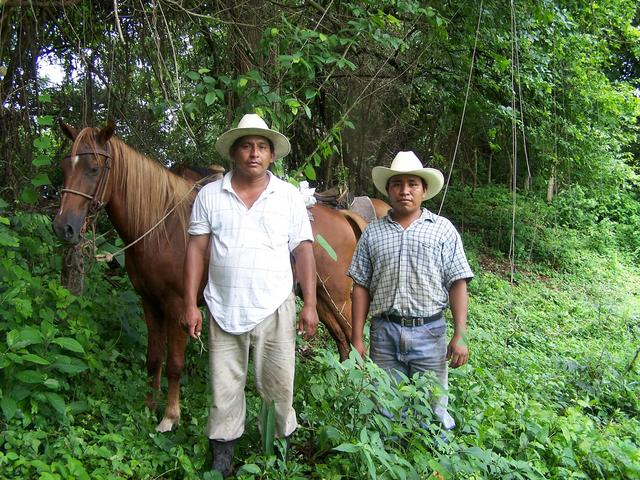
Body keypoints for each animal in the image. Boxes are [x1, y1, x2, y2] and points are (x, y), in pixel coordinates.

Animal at [53, 123, 372, 432]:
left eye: (94, 168)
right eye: (65, 166)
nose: (63, 227)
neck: (161, 229)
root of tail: (343, 216)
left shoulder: (177, 306)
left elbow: (174, 363)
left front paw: (170, 416)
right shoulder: (150, 303)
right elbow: (153, 358)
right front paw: (149, 406)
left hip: (339, 299)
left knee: (357, 344)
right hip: (318, 298)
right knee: (342, 343)